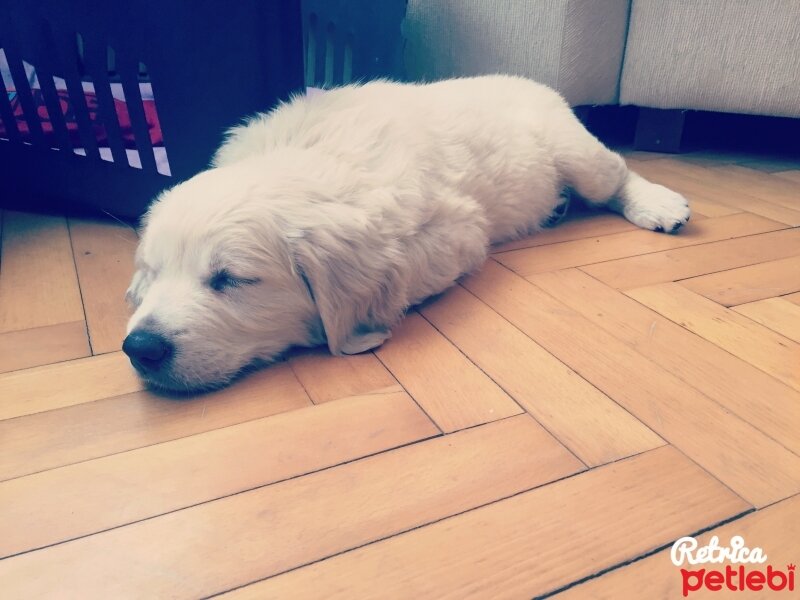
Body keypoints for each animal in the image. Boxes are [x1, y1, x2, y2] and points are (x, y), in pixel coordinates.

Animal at [122, 75, 692, 392]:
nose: (138, 348)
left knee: (617, 173)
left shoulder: (456, 233)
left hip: (575, 151)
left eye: (232, 280)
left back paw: (658, 204)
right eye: (152, 274)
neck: (305, 156)